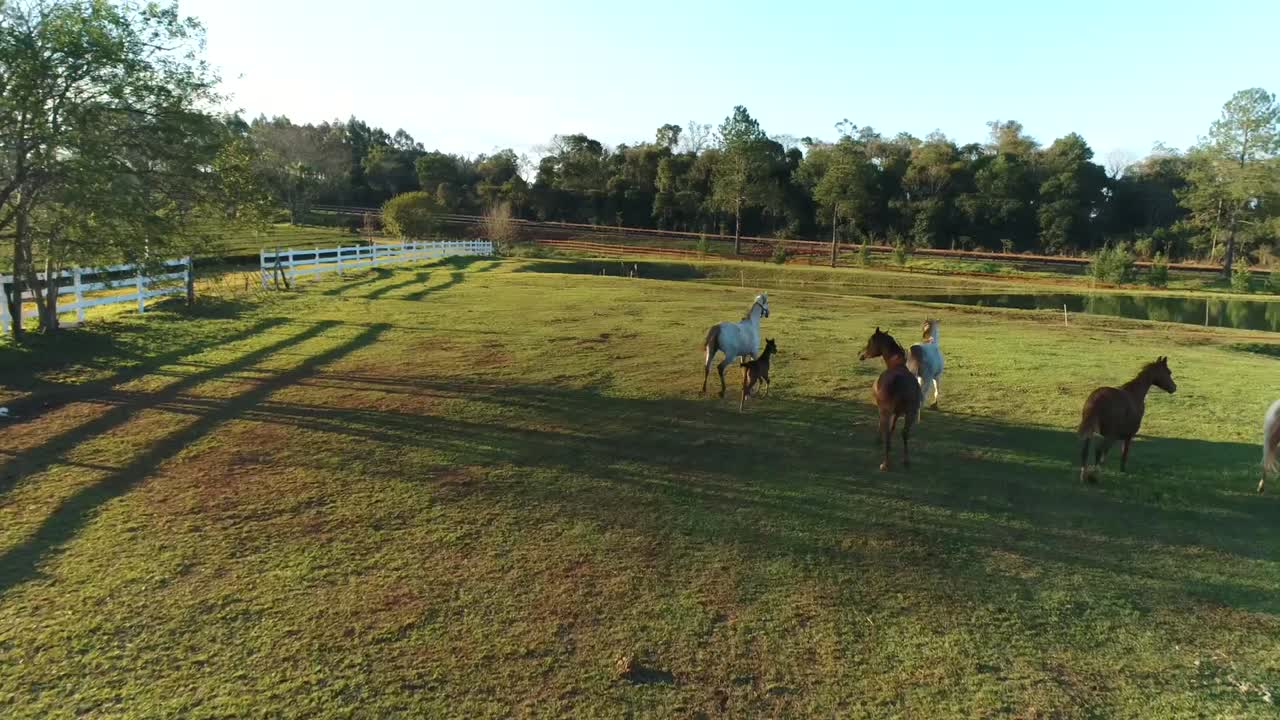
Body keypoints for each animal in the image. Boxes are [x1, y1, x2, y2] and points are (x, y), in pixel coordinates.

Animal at [858, 328, 922, 471]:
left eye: (870, 341)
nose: (861, 355)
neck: (896, 365)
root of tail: (898, 382)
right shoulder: (897, 413)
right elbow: (893, 428)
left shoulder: (883, 410)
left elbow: (884, 427)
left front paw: (879, 440)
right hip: (910, 412)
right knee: (905, 433)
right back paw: (906, 461)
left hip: (886, 411)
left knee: (887, 432)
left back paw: (885, 464)